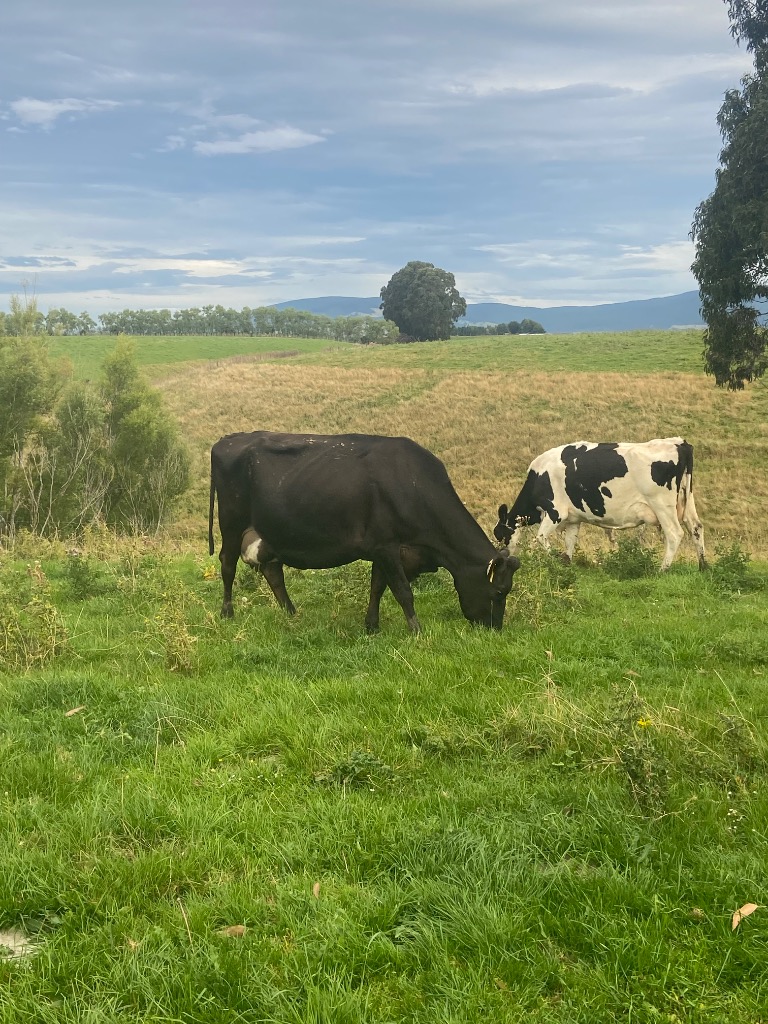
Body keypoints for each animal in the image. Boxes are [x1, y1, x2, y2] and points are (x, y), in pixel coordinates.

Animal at [209, 430, 520, 633]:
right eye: (499, 592)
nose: (495, 629)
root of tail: (229, 438)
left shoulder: (384, 547)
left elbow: (377, 587)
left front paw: (372, 626)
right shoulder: (386, 546)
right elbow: (403, 591)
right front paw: (416, 630)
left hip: (268, 534)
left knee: (273, 572)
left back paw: (292, 614)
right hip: (231, 524)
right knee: (227, 564)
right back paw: (227, 612)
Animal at [493, 437, 706, 570]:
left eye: (500, 534)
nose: (501, 556)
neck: (540, 475)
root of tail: (679, 443)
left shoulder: (555, 512)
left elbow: (540, 538)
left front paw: (554, 559)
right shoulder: (573, 518)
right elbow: (570, 543)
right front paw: (565, 563)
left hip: (662, 504)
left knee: (675, 533)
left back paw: (662, 569)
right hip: (687, 499)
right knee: (696, 527)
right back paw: (703, 566)